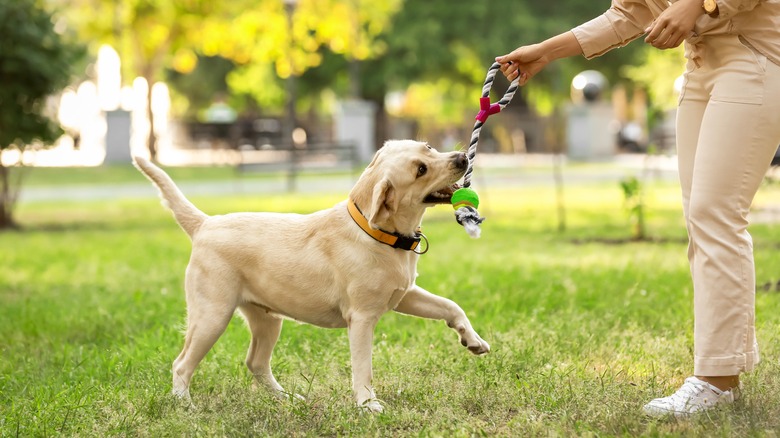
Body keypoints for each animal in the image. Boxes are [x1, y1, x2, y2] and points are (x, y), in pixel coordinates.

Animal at [133, 141, 488, 414]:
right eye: (420, 170)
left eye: (428, 147)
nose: (462, 157)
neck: (376, 232)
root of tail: (205, 224)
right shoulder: (362, 318)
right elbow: (364, 366)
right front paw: (367, 404)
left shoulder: (405, 294)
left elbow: (450, 306)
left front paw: (473, 339)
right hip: (212, 315)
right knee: (182, 364)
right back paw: (184, 404)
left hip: (267, 319)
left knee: (255, 363)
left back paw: (287, 399)